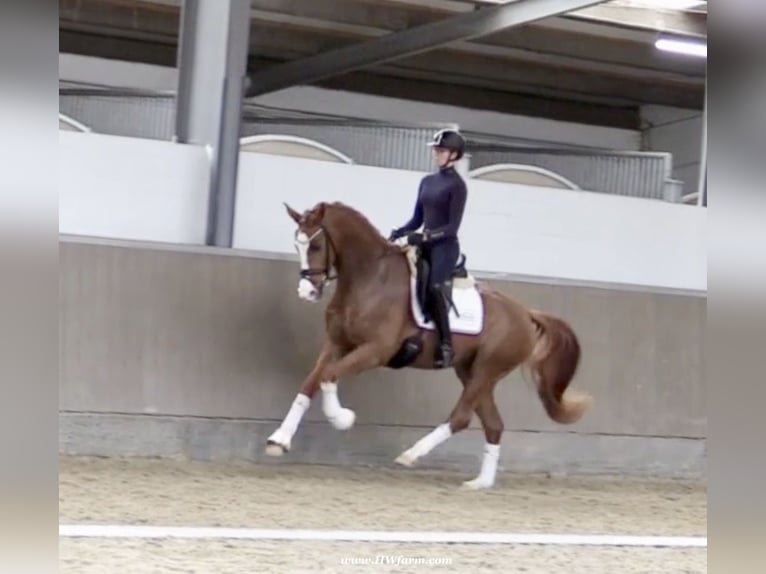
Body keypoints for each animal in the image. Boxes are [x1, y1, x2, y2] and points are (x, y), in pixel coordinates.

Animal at [264, 199, 592, 490]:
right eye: (297, 246)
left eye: (316, 246)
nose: (306, 292)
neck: (370, 277)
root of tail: (525, 313)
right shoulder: (336, 344)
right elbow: (310, 383)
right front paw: (279, 440)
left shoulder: (375, 351)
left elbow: (329, 377)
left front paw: (342, 419)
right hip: (471, 371)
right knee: (493, 424)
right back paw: (480, 483)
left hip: (487, 369)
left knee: (461, 417)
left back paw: (411, 454)